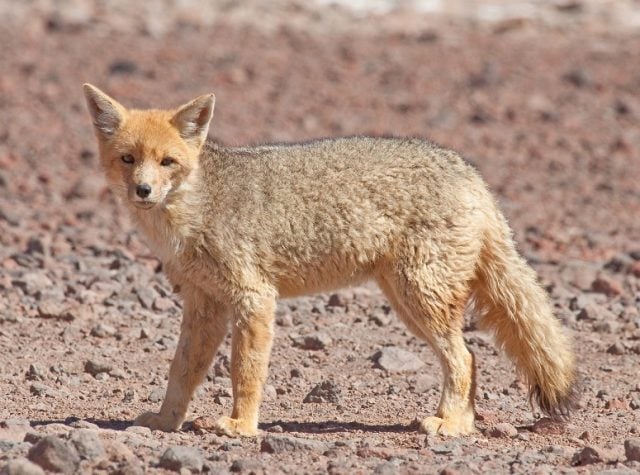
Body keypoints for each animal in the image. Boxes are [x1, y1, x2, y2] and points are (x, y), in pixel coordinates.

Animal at [82, 83, 576, 436]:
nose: (143, 190)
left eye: (167, 162)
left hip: (421, 299)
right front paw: (166, 421)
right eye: (128, 159)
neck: (195, 209)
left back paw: (449, 424)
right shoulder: (204, 304)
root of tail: (470, 172)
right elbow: (181, 371)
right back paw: (463, 424)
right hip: (407, 301)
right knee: (470, 358)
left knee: (466, 358)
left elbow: (246, 370)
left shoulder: (254, 299)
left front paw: (240, 426)